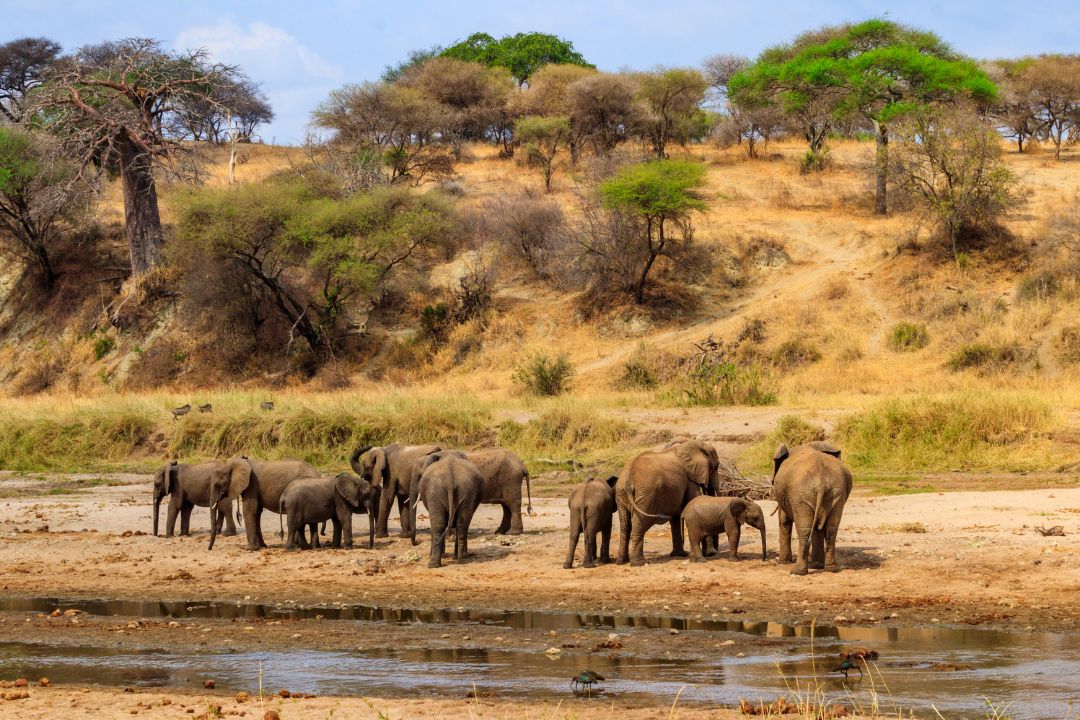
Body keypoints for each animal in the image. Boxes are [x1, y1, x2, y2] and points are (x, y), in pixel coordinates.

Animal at [617, 440, 717, 569]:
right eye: (716, 466)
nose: (707, 486)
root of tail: (628, 478)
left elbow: (675, 517)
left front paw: (680, 555)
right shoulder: (689, 479)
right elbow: (692, 501)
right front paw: (710, 554)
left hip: (622, 494)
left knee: (625, 525)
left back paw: (621, 561)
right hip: (647, 494)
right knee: (639, 523)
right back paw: (639, 563)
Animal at [773, 442, 855, 578]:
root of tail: (821, 483)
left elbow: (784, 521)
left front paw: (783, 562)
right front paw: (817, 566)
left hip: (801, 496)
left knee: (804, 531)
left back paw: (797, 572)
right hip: (836, 494)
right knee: (831, 531)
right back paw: (830, 569)